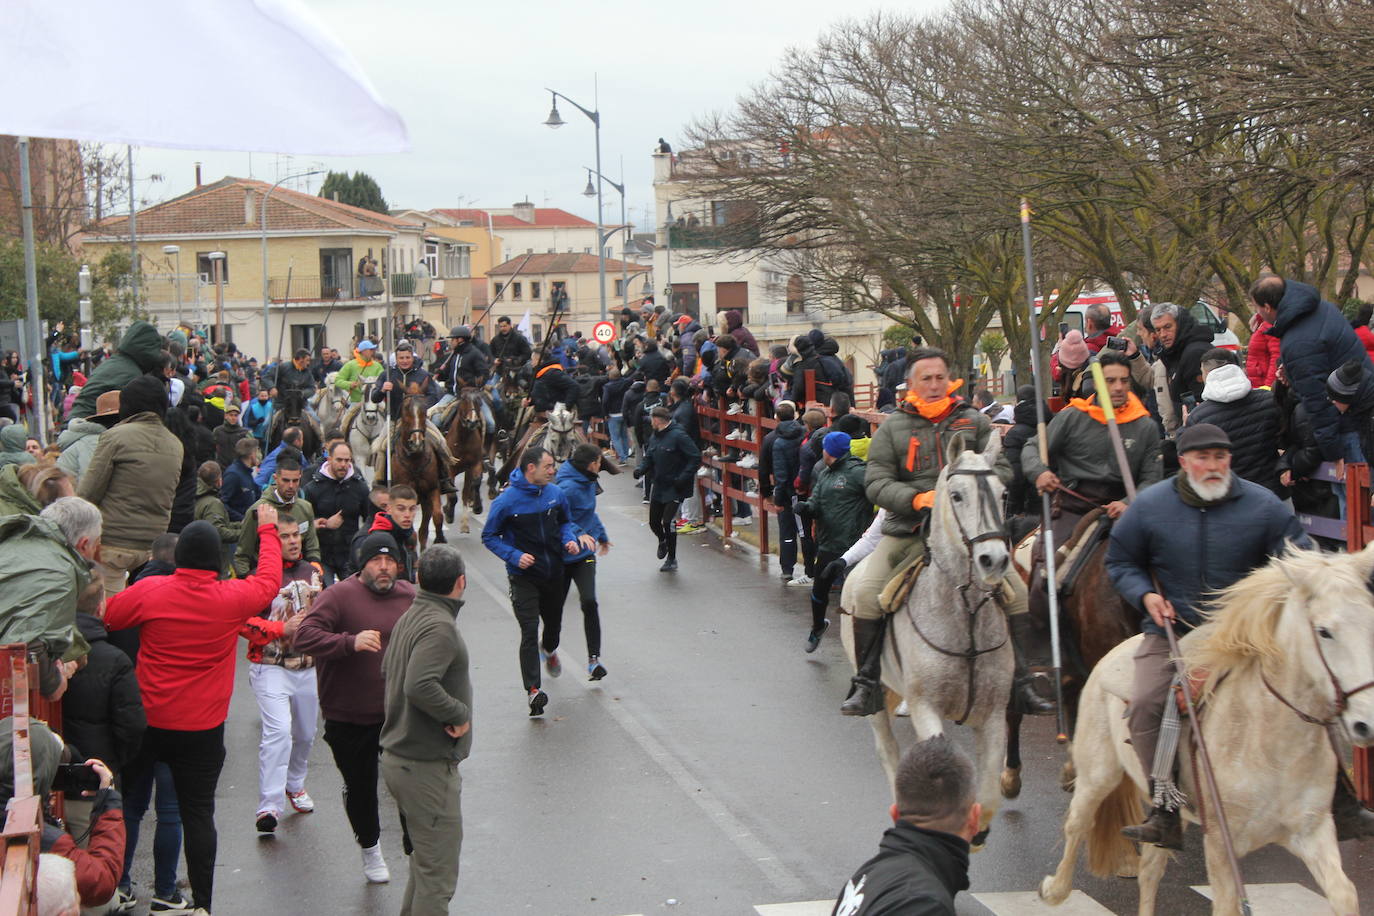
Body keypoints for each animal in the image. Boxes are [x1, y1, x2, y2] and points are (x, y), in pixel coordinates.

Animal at [387, 392, 445, 549]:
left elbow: (438, 516)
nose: (417, 443)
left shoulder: (432, 489)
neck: (415, 459)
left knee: (423, 530)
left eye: (424, 412)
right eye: (406, 412)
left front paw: (439, 539)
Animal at [445, 390, 489, 532]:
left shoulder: (473, 465)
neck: (463, 438)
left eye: (478, 400)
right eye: (463, 399)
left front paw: (476, 508)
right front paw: (448, 513)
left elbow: (473, 485)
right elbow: (452, 494)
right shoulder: (450, 467)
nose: (472, 422)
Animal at [835, 433, 1022, 851]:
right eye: (956, 495)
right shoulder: (926, 708)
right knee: (888, 751)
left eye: (1003, 493)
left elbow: (988, 795)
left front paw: (977, 833)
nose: (994, 560)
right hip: (875, 696)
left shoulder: (992, 716)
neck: (964, 616)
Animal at [1038, 543, 1374, 916]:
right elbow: (1227, 904)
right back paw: (1053, 889)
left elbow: (1345, 895)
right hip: (1098, 773)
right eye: (1324, 631)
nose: (1366, 723)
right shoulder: (1221, 845)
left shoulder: (1313, 831)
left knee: (1150, 868)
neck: (1273, 745)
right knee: (1078, 822)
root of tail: (1119, 648)